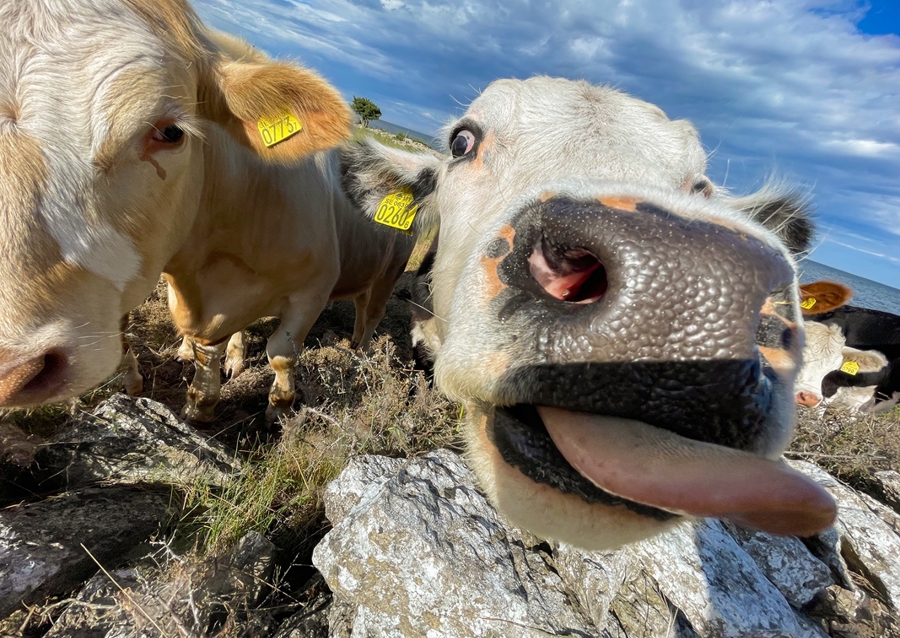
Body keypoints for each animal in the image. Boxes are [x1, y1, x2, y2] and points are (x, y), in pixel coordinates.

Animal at [0, 0, 414, 422]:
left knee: (369, 314)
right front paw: (200, 402)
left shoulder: (313, 288)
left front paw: (279, 411)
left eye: (171, 132)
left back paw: (360, 355)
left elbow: (282, 354)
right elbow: (206, 349)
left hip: (390, 271)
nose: (14, 370)